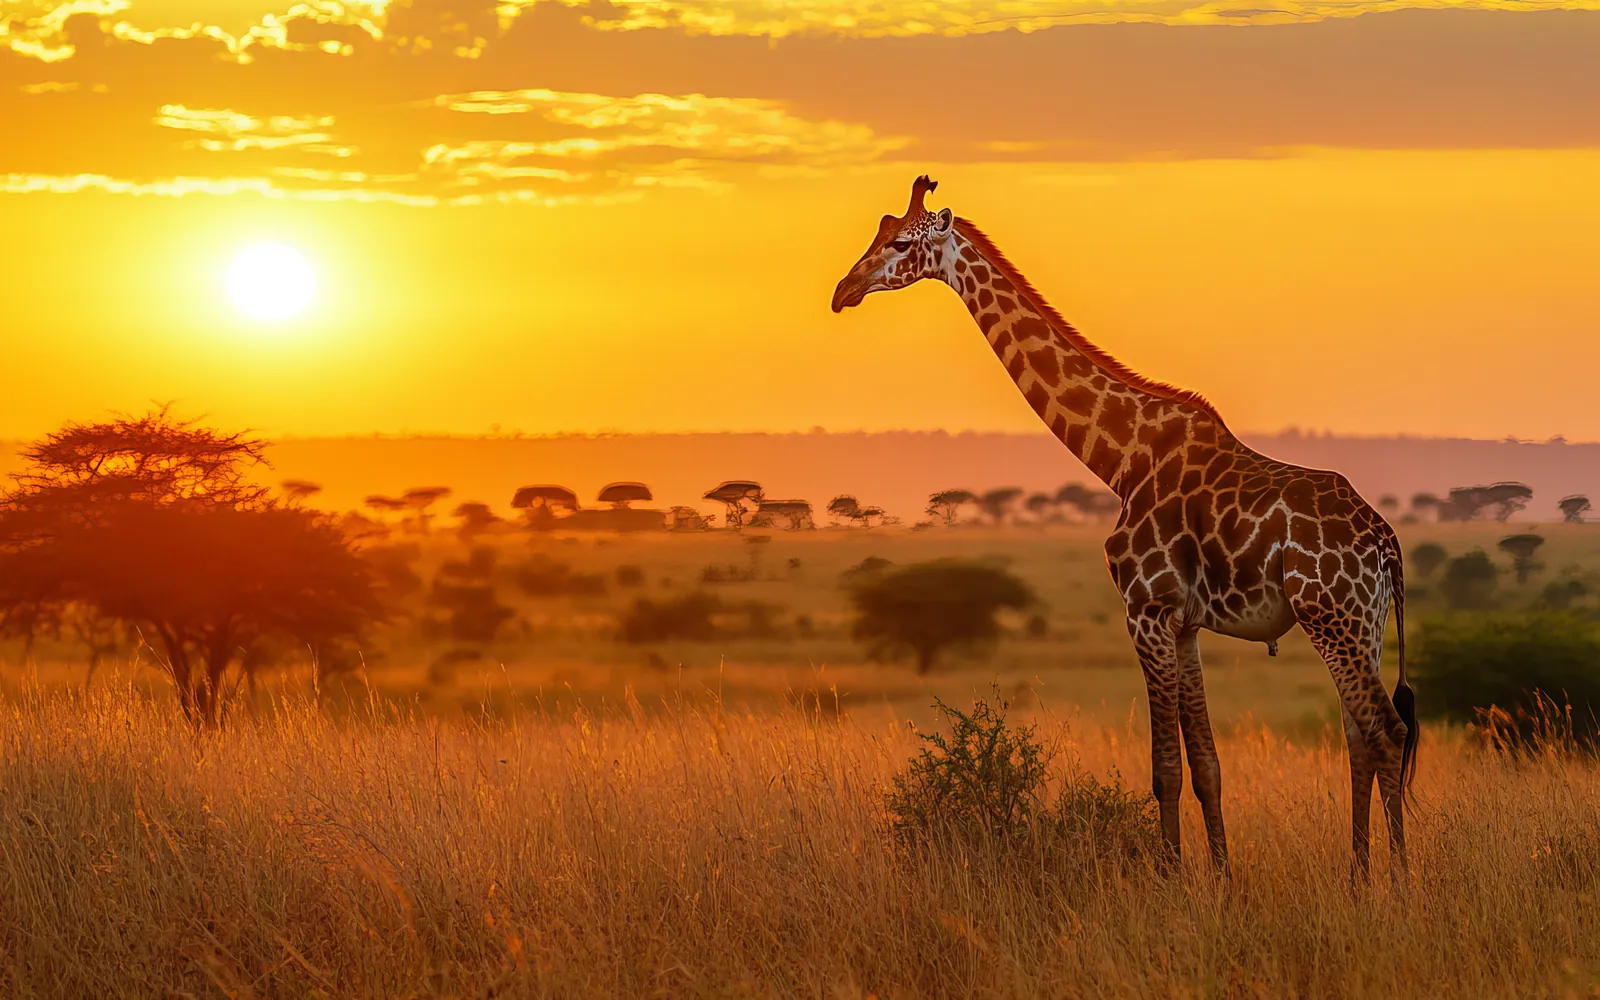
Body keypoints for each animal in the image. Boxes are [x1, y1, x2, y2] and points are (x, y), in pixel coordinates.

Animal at [831, 176, 1418, 881]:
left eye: (899, 243)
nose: (843, 290)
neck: (1121, 458)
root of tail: (1385, 545)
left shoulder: (1145, 609)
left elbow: (1165, 769)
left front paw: (1172, 882)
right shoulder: (1184, 622)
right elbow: (1207, 766)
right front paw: (1222, 882)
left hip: (1332, 617)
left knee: (1386, 730)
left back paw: (1398, 883)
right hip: (1363, 623)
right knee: (1361, 736)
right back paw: (1358, 881)